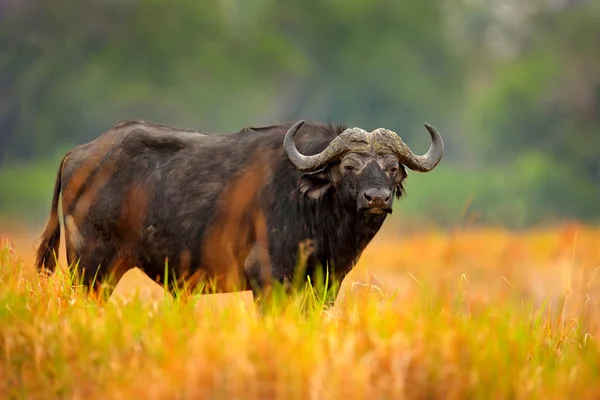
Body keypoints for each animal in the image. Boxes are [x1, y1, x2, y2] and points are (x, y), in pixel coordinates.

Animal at [35, 119, 442, 300]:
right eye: (349, 166)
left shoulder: (326, 285)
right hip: (90, 268)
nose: (377, 198)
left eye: (392, 168)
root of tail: (78, 154)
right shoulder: (269, 282)